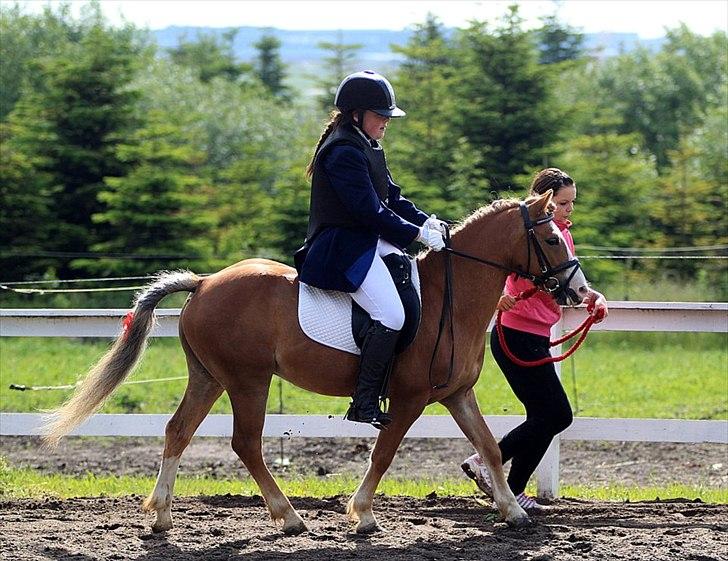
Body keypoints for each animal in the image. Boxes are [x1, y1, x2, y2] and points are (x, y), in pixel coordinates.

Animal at [42, 191, 588, 532]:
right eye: (552, 238)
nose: (578, 293)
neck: (447, 299)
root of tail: (204, 282)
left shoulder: (456, 394)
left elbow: (489, 448)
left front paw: (513, 514)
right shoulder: (409, 399)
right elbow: (383, 454)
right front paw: (362, 514)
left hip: (209, 377)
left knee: (178, 431)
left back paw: (160, 516)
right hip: (248, 380)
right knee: (246, 443)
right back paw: (288, 517)